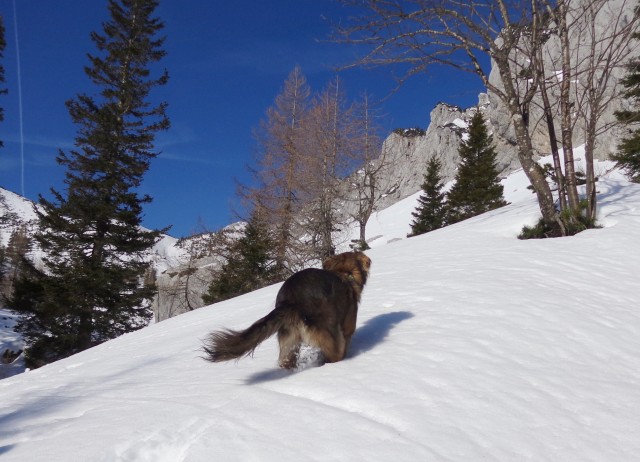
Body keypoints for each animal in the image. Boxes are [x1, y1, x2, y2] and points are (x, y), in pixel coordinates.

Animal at [205, 251, 370, 370]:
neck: (344, 273)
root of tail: (291, 300)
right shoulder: (348, 326)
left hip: (289, 341)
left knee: (285, 362)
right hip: (331, 335)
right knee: (334, 356)